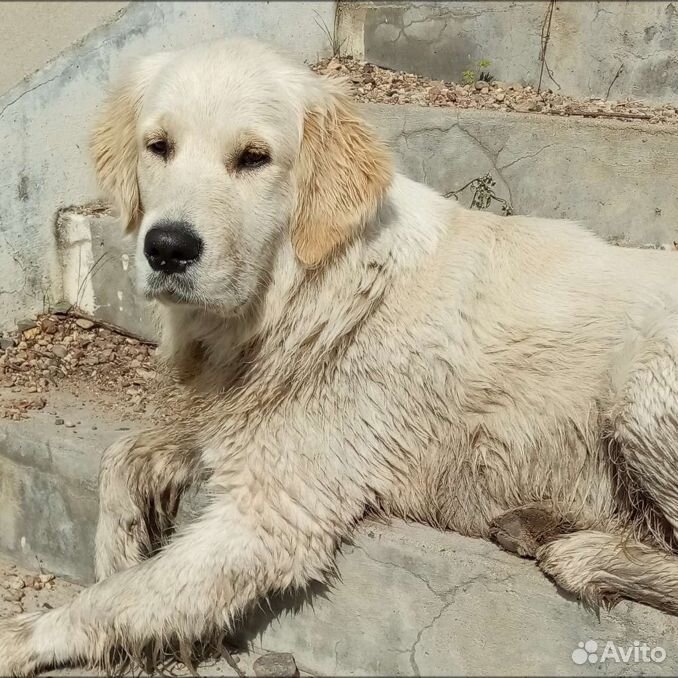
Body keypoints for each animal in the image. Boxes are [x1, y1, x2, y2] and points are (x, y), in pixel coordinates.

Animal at [1, 39, 678, 676]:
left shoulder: (274, 513)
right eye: (158, 146)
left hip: (643, 383)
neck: (307, 291)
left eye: (253, 157)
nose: (166, 248)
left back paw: (581, 553)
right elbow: (121, 457)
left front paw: (27, 635)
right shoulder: (232, 418)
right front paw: (117, 546)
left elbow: (118, 600)